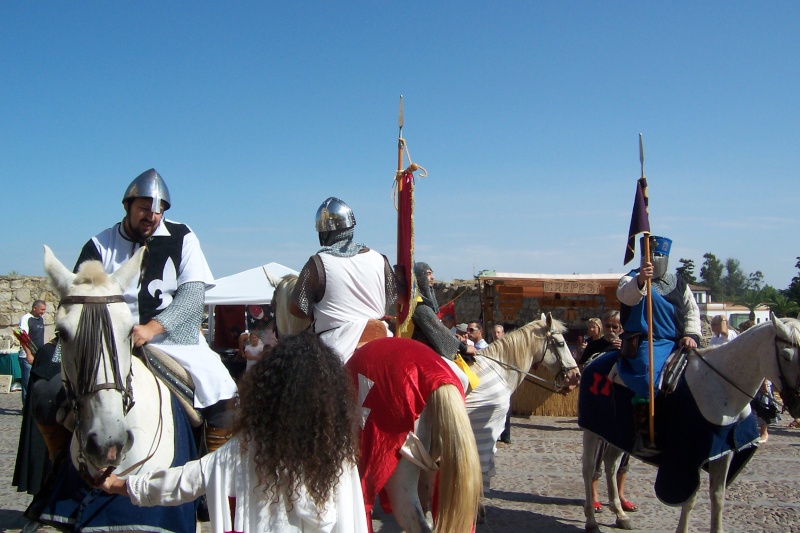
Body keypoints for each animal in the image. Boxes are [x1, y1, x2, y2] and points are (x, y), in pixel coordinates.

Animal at [580, 312, 800, 532]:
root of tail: (594, 359)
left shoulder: (724, 451)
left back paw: (620, 514)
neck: (721, 385)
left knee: (611, 463)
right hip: (592, 430)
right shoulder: (687, 460)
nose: (797, 403)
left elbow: (718, 496)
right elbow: (690, 499)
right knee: (589, 468)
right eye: (786, 356)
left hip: (619, 434)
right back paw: (591, 519)